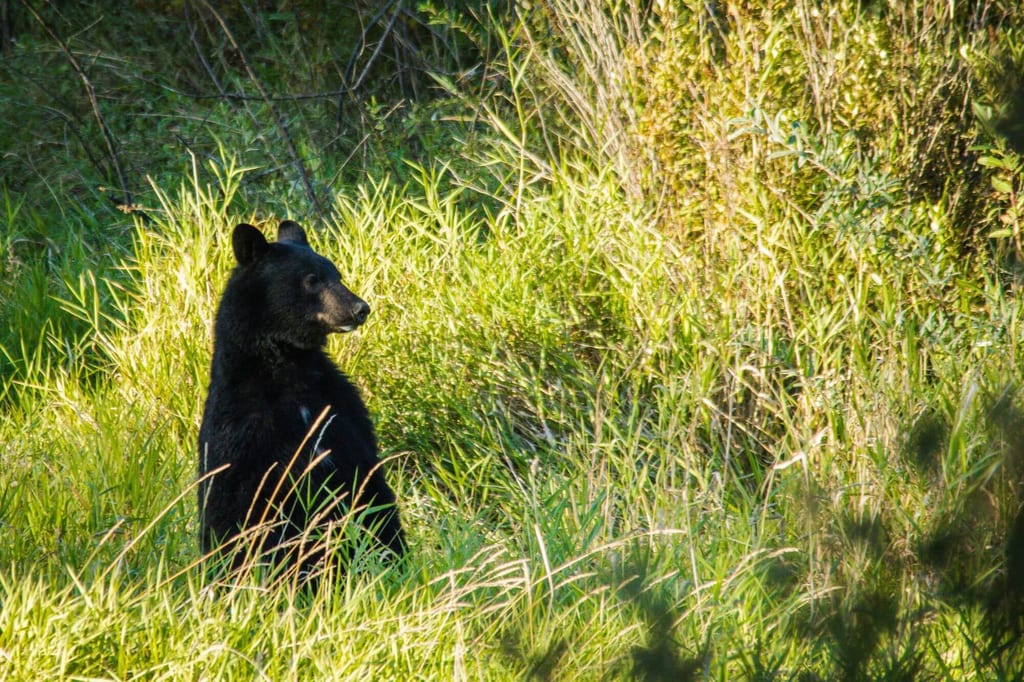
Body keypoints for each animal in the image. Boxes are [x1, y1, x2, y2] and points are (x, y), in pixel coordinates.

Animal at [198, 220, 405, 580]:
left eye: (337, 274)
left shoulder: (341, 409)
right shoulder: (247, 430)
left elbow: (369, 485)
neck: (288, 368)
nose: (360, 308)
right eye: (311, 280)